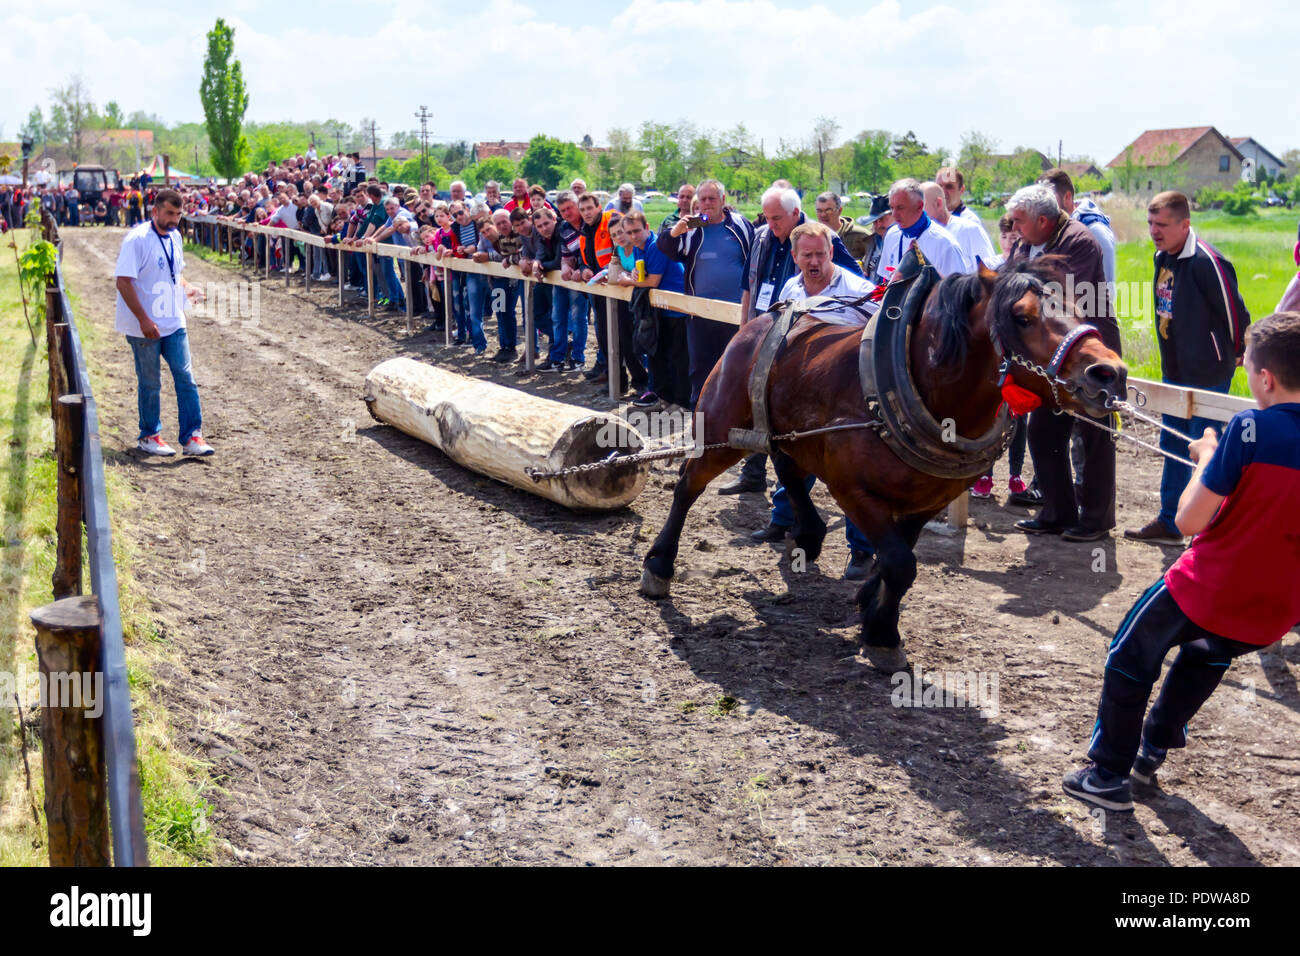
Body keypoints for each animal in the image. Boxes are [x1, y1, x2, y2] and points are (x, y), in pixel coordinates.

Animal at [642, 257, 1128, 671]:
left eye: (1079, 306)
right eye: (1022, 316)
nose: (1109, 373)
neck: (920, 387)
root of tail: (758, 322)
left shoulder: (930, 498)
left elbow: (899, 560)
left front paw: (872, 607)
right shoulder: (854, 491)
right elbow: (899, 563)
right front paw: (883, 636)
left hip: (788, 431)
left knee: (787, 468)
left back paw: (808, 535)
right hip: (722, 428)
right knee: (688, 485)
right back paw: (659, 565)